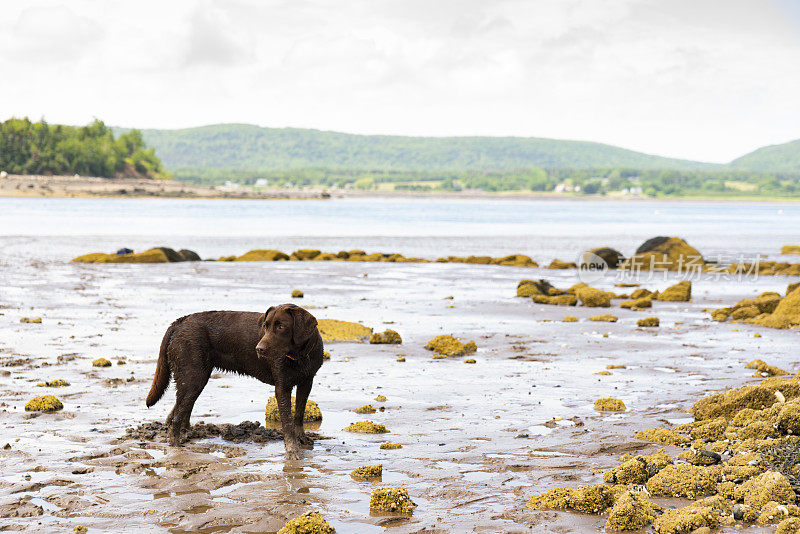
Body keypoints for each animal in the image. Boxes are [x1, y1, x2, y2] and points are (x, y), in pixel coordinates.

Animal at [145, 306, 324, 460]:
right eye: (265, 326)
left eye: (281, 326)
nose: (258, 349)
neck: (299, 356)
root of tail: (180, 321)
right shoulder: (282, 387)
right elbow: (287, 422)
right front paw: (292, 451)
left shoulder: (307, 382)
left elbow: (299, 414)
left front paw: (302, 439)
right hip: (194, 377)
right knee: (177, 415)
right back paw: (176, 444)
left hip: (193, 379)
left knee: (179, 409)